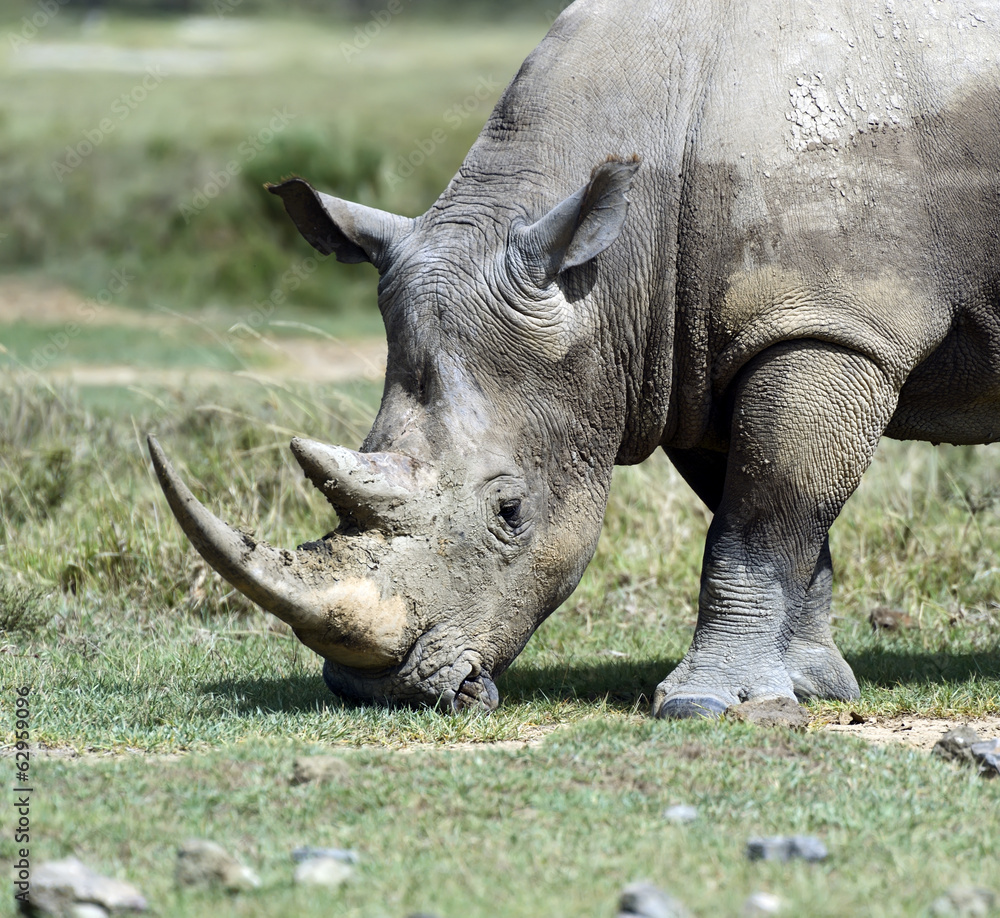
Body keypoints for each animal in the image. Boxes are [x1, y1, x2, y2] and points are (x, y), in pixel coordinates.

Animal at [150, 0, 1000, 717]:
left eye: (511, 512)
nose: (380, 691)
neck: (612, 271)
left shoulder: (827, 322)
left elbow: (762, 517)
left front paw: (706, 705)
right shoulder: (702, 357)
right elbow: (774, 514)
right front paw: (808, 686)